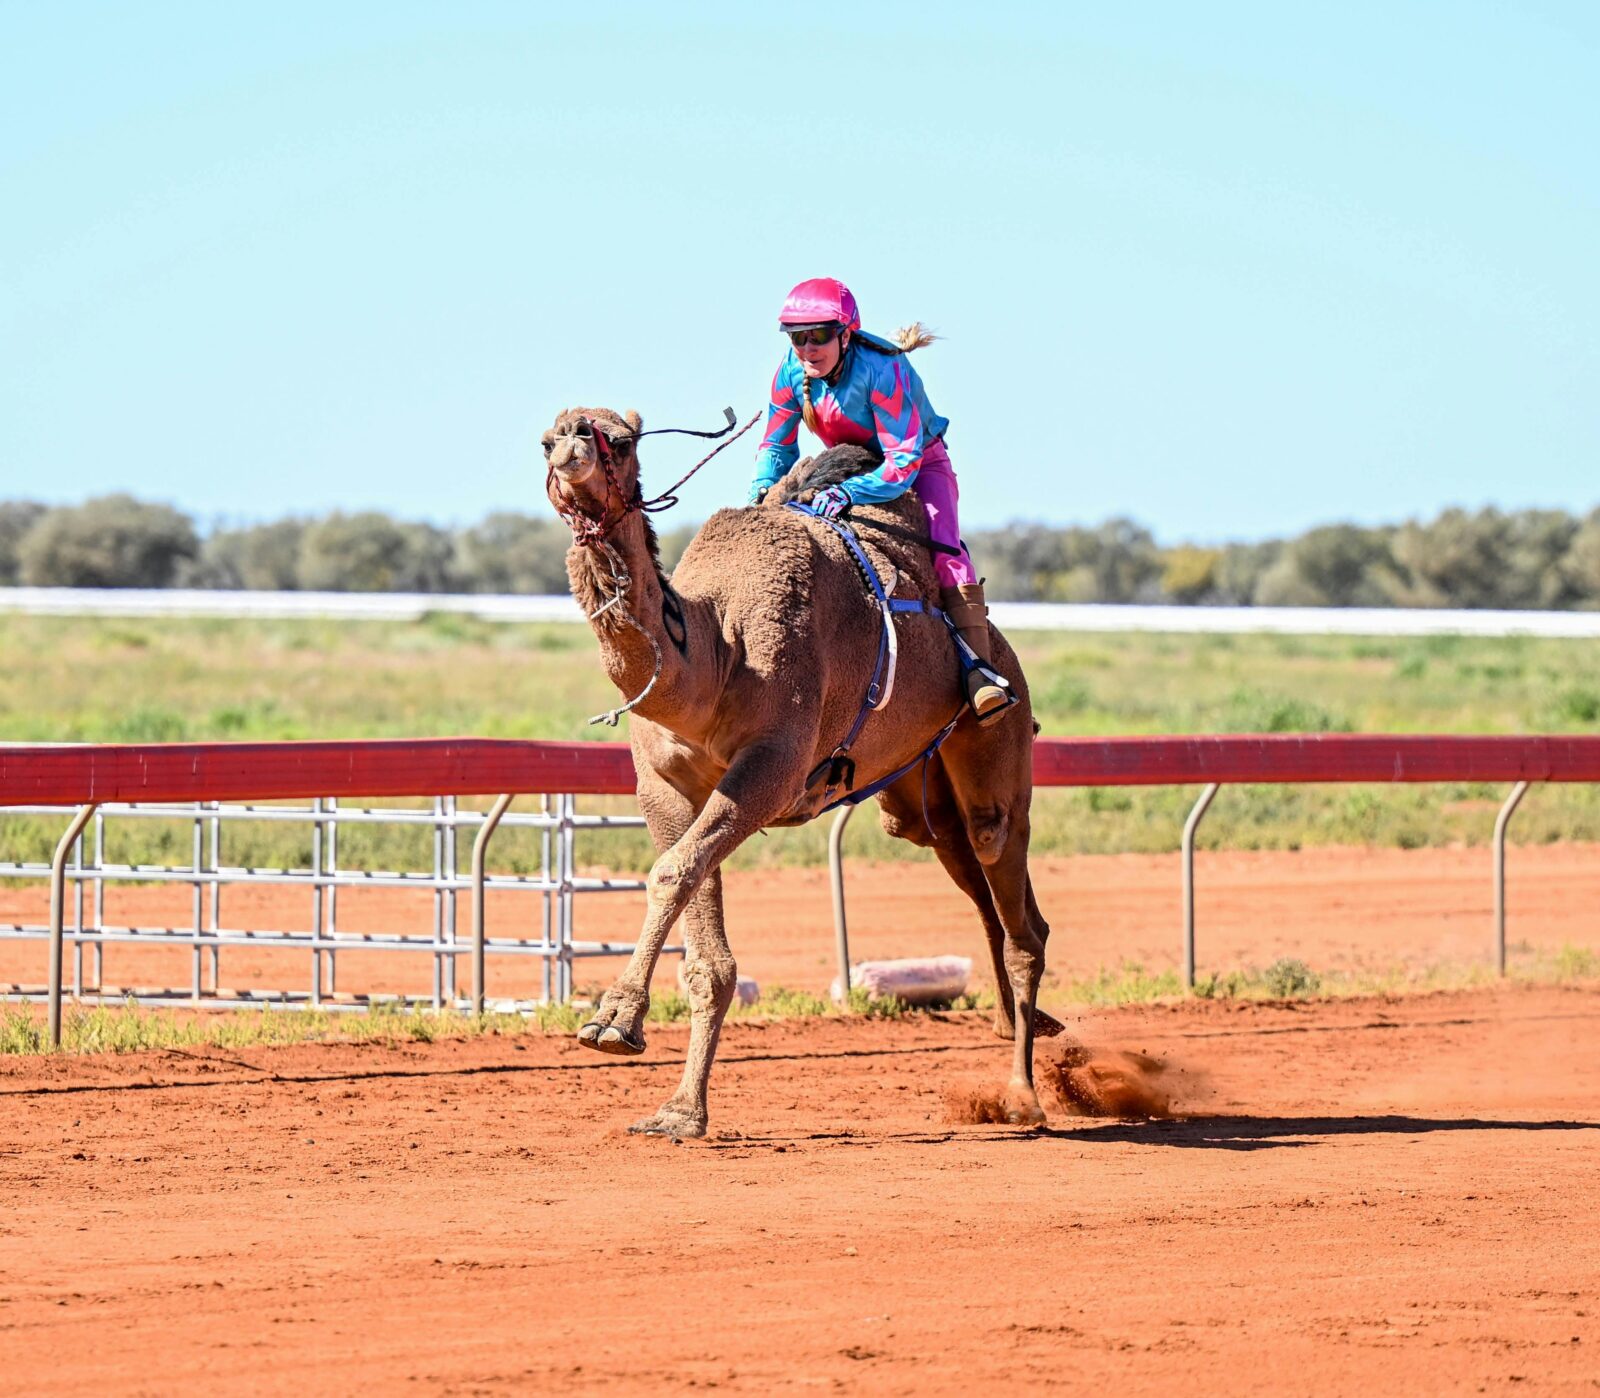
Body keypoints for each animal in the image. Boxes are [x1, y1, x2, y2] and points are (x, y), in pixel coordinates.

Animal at [541, 405, 1056, 1138]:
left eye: (619, 439)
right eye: (548, 439)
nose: (572, 448)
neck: (715, 651)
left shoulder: (772, 769)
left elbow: (670, 873)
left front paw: (613, 1021)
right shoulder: (664, 787)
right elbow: (698, 932)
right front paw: (679, 1111)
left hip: (997, 739)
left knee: (1010, 889)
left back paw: (1022, 1094)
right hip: (914, 795)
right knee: (976, 884)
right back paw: (1022, 1028)